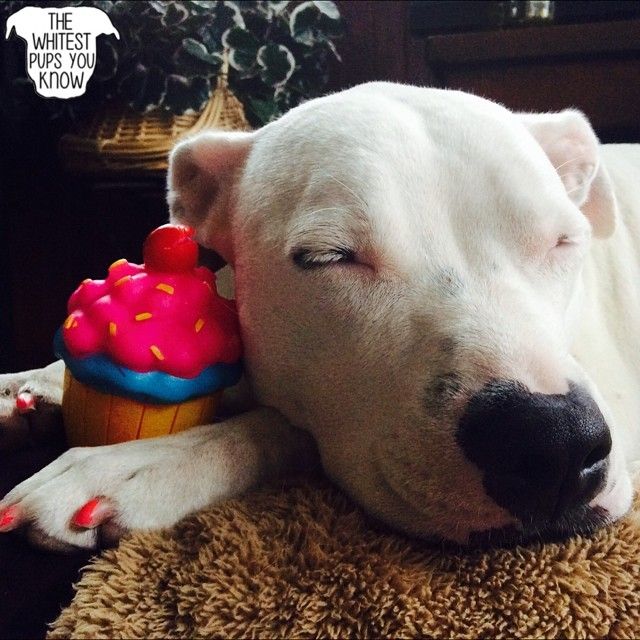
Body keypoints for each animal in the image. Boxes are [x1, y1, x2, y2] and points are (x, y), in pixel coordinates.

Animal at [1, 81, 640, 552]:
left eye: (563, 242)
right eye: (327, 257)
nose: (553, 443)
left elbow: (278, 424)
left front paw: (142, 464)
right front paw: (30, 385)